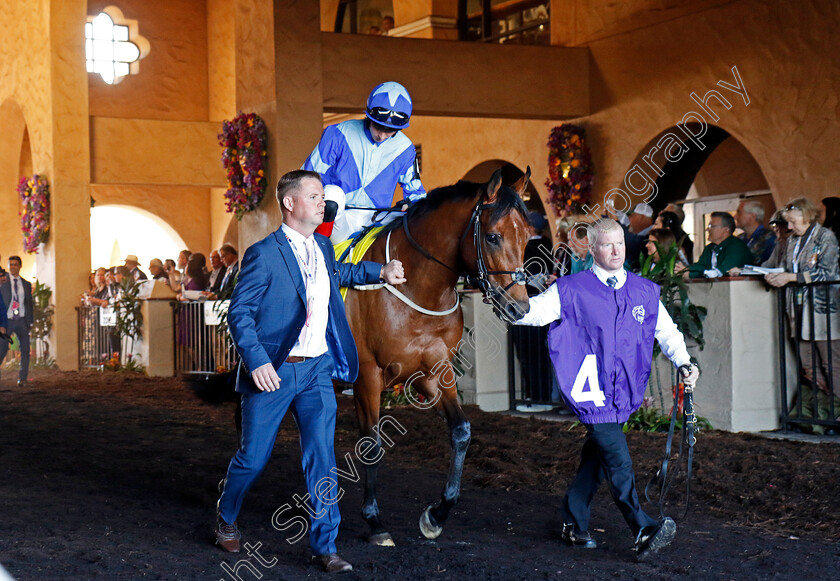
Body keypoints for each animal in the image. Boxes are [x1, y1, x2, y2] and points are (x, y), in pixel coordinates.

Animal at [342, 167, 532, 544]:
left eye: (528, 237)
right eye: (493, 237)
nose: (519, 307)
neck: (414, 285)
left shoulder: (434, 372)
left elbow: (461, 431)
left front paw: (437, 514)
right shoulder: (367, 374)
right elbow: (372, 444)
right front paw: (374, 521)